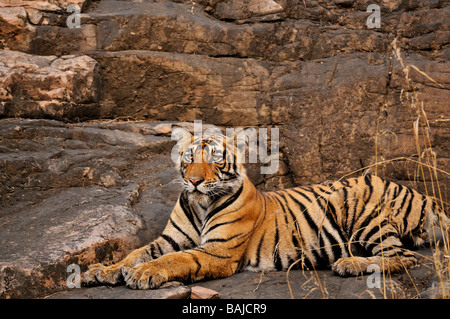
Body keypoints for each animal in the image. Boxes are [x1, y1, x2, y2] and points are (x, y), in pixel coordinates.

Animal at [82, 127, 448, 290]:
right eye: (189, 157)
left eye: (215, 158)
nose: (195, 181)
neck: (200, 203)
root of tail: (421, 194)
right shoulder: (168, 239)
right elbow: (136, 252)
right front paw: (101, 270)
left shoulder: (217, 251)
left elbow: (176, 259)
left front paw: (143, 274)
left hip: (364, 213)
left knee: (405, 257)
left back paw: (349, 264)